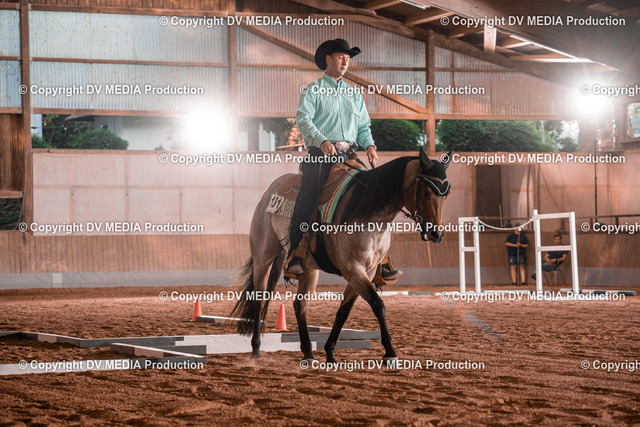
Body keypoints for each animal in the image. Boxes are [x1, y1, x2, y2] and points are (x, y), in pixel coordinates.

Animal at [231, 147, 452, 363]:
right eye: (425, 191)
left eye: (446, 195)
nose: (436, 234)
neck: (367, 214)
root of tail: (270, 190)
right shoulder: (353, 269)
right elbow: (378, 305)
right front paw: (390, 352)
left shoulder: (366, 271)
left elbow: (344, 311)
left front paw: (330, 352)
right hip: (264, 257)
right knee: (259, 299)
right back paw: (256, 351)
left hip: (309, 268)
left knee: (300, 305)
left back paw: (308, 353)